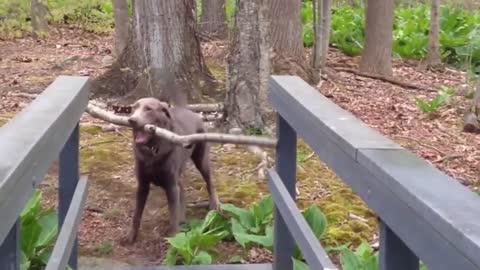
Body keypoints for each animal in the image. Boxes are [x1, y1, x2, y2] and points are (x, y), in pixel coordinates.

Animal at [124, 97, 221, 245]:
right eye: (133, 108)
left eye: (149, 109)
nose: (131, 120)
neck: (153, 150)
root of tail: (193, 113)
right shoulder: (142, 185)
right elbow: (136, 214)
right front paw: (131, 236)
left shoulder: (171, 186)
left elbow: (173, 216)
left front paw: (174, 240)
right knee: (183, 191)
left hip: (201, 160)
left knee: (210, 181)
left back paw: (214, 204)